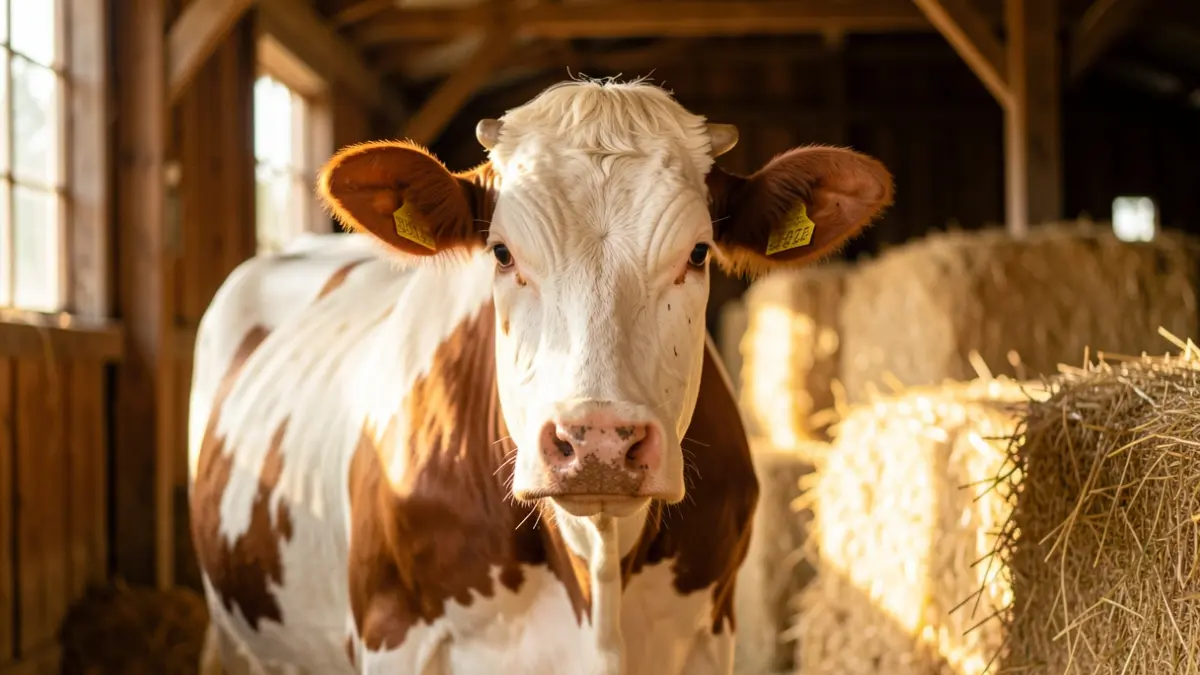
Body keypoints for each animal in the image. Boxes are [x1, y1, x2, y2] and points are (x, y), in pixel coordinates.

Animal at [188, 78, 893, 675]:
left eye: (698, 253)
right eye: (502, 253)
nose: (597, 441)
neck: (596, 571)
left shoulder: (707, 634)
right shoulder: (395, 633)